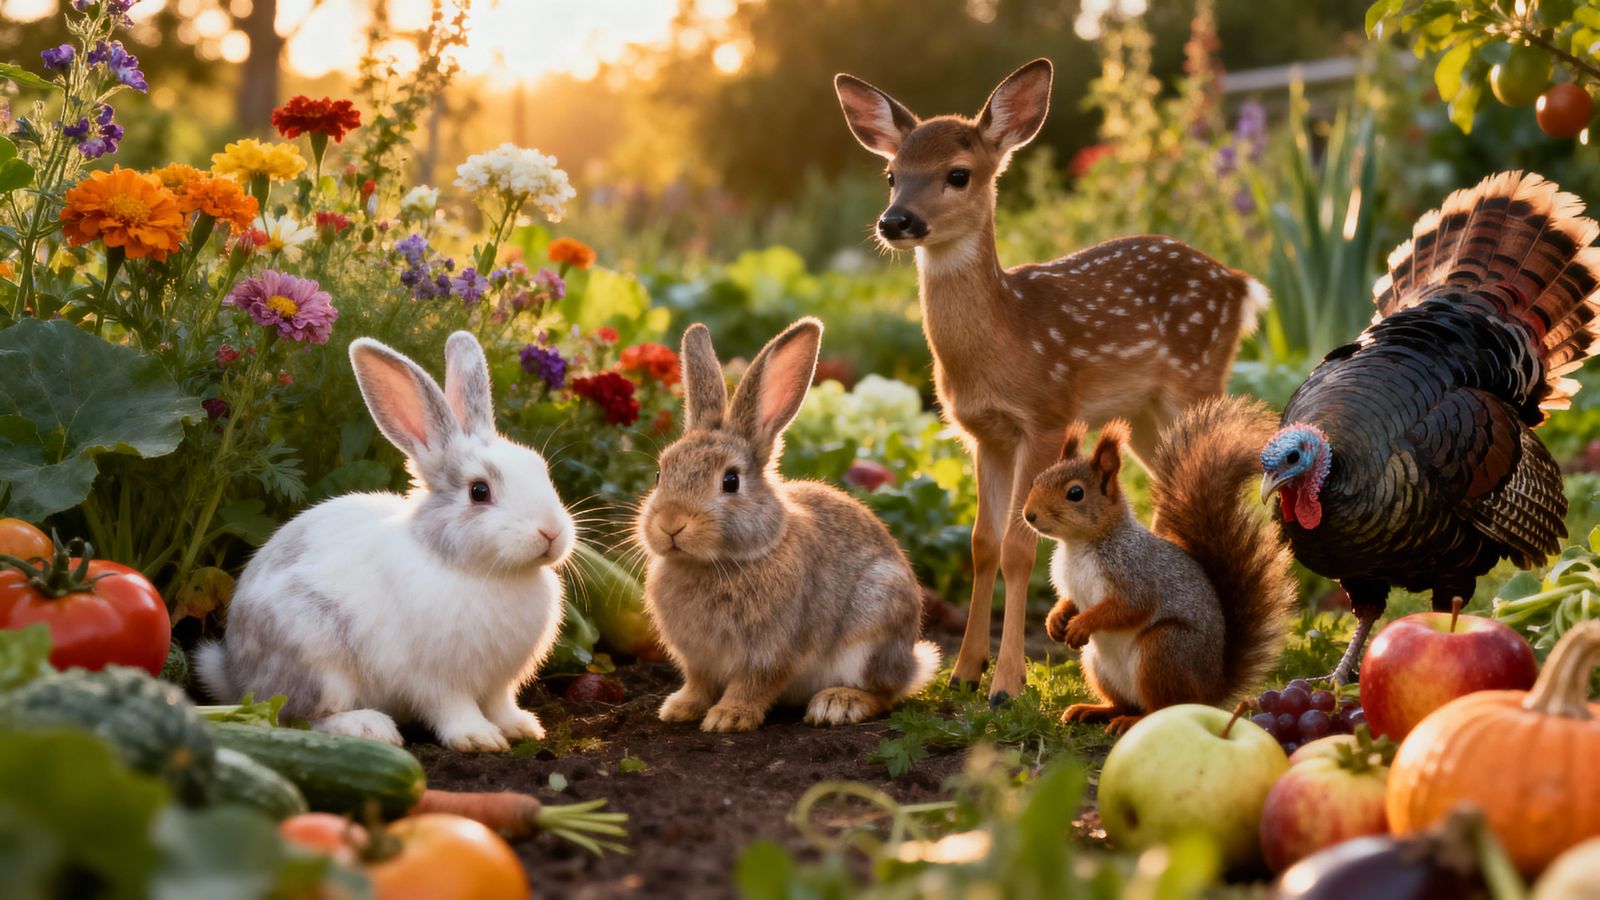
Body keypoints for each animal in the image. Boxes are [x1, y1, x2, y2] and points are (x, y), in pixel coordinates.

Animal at [196, 331, 575, 752]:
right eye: (479, 491)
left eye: (540, 469)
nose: (552, 533)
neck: (478, 570)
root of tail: (236, 675)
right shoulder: (436, 679)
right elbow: (453, 707)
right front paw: (478, 738)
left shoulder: (499, 683)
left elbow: (500, 704)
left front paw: (522, 728)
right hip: (318, 660)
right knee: (296, 715)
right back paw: (368, 728)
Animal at [636, 316, 941, 733]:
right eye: (659, 474)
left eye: (730, 481)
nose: (670, 525)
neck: (722, 563)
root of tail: (911, 663)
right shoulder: (698, 659)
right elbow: (699, 683)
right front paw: (681, 708)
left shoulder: (773, 651)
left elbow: (754, 683)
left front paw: (728, 718)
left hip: (877, 622)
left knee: (884, 693)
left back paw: (838, 704)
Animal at [834, 58, 1270, 706]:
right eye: (892, 175)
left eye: (958, 174)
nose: (896, 221)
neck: (1004, 339)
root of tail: (1242, 284)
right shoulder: (982, 433)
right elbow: (982, 544)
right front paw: (964, 672)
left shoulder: (1044, 415)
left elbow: (1020, 546)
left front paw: (1006, 685)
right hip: (1145, 415)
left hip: (1198, 378)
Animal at [1021, 395, 1297, 734]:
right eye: (1036, 480)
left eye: (1075, 493)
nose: (1029, 515)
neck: (1079, 546)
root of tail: (1210, 694)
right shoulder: (1072, 584)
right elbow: (1070, 600)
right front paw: (1056, 620)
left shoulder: (1133, 570)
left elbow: (1130, 606)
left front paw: (1081, 624)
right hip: (1097, 664)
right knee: (1125, 702)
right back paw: (1094, 710)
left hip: (1163, 650)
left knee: (1161, 709)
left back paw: (1132, 720)